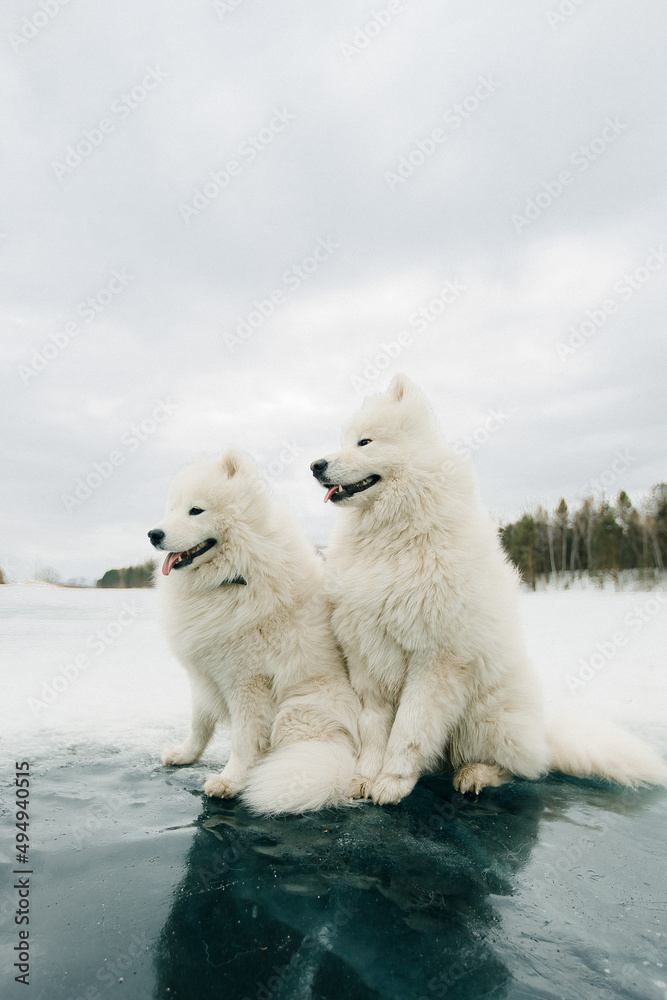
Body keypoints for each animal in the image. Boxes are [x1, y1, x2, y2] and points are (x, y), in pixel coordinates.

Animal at [149, 446, 362, 812]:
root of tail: (344, 760)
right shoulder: (205, 674)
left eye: (196, 510)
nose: (154, 534)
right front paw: (185, 755)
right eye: (172, 510)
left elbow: (244, 739)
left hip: (296, 709)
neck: (235, 576)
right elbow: (199, 724)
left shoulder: (247, 681)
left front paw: (229, 781)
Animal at [314, 376, 667, 804]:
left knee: (522, 768)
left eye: (364, 442)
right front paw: (365, 777)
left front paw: (393, 781)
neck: (394, 535)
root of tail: (543, 736)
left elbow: (409, 730)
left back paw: (476, 774)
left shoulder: (436, 660)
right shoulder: (367, 655)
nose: (315, 466)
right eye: (345, 440)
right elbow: (373, 729)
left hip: (482, 717)